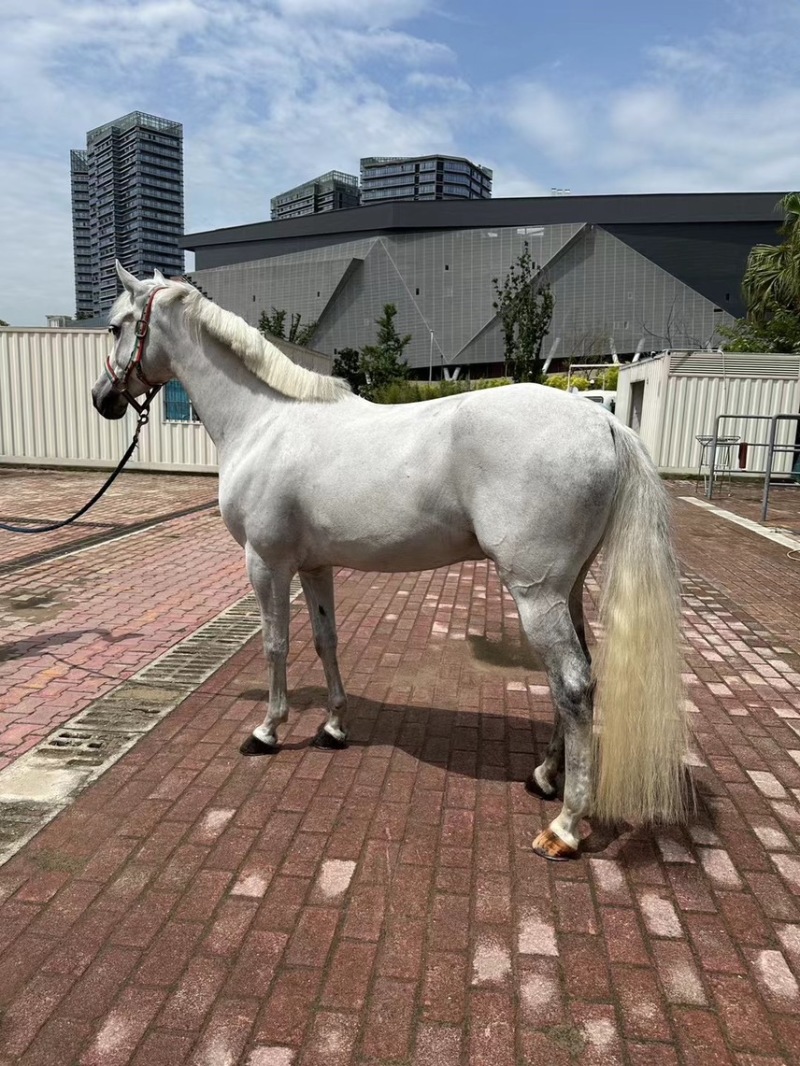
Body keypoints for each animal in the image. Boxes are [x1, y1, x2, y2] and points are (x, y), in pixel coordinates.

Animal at [91, 262, 688, 860]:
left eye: (116, 327)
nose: (102, 399)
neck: (264, 421)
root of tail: (603, 423)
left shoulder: (266, 563)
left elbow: (275, 644)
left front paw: (267, 731)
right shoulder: (315, 567)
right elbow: (325, 641)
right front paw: (333, 728)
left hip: (536, 594)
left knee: (572, 685)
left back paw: (564, 827)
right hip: (567, 590)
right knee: (582, 676)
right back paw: (543, 776)